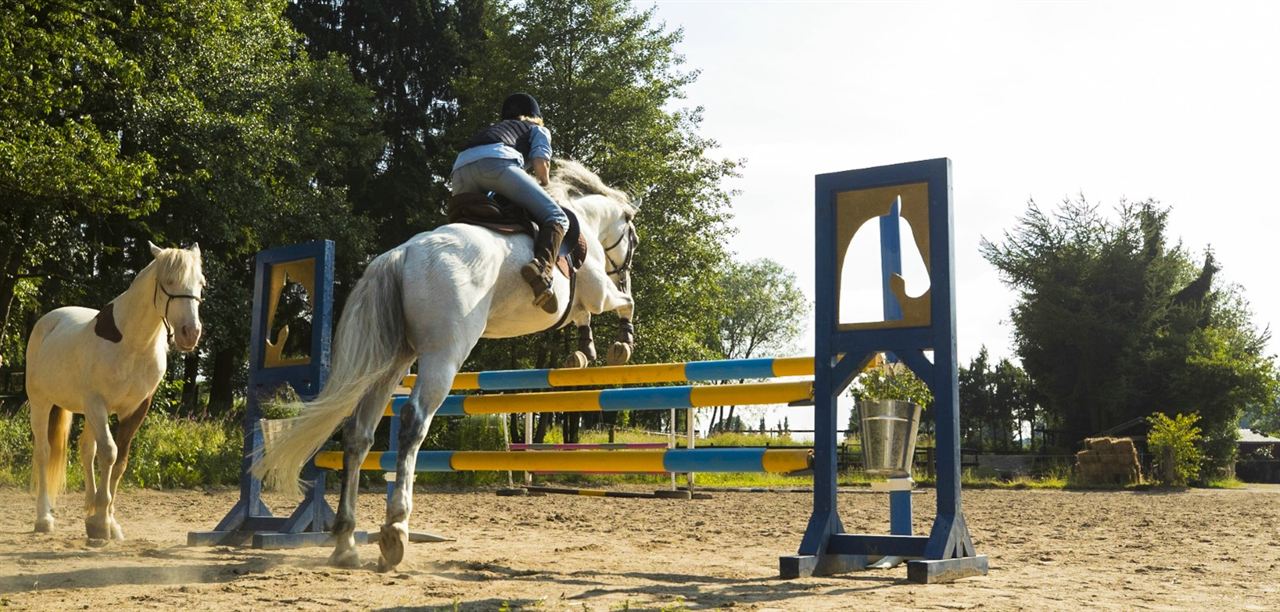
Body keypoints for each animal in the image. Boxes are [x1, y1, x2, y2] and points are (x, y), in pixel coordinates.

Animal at [26, 241, 204, 542]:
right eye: (169, 281)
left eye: (201, 284)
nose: (189, 333)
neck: (133, 345)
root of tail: (48, 321)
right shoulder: (97, 403)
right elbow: (109, 453)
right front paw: (100, 522)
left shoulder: (135, 409)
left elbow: (119, 461)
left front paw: (107, 521)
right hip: (42, 402)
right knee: (43, 452)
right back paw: (44, 519)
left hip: (87, 412)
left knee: (86, 449)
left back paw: (88, 509)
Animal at [252, 160, 637, 571]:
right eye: (632, 240)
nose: (625, 272)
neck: (587, 220)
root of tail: (402, 254)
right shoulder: (598, 291)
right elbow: (623, 304)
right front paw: (621, 344)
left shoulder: (585, 300)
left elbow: (584, 316)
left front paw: (584, 350)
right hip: (444, 355)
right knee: (414, 422)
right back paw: (395, 530)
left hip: (391, 363)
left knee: (358, 434)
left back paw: (346, 542)